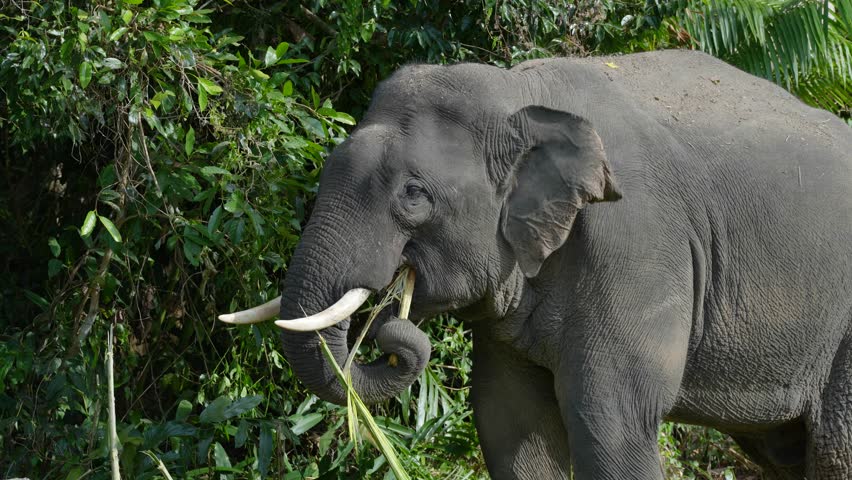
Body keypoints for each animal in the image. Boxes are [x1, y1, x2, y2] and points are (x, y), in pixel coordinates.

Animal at [220, 50, 852, 479]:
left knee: (834, 448)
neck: (519, 93)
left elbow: (608, 417)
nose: (388, 331)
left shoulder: (637, 246)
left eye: (414, 194)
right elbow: (508, 417)